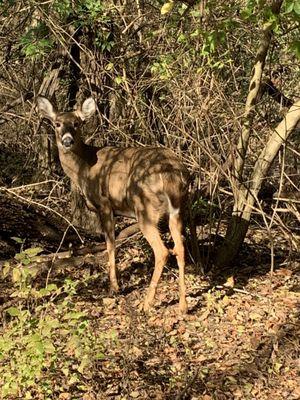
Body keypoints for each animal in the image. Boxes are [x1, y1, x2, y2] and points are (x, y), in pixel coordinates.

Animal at [37, 95, 190, 314]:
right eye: (57, 123)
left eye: (77, 123)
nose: (67, 140)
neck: (84, 169)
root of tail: (172, 176)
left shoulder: (104, 204)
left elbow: (111, 245)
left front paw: (114, 287)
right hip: (177, 210)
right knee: (180, 248)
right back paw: (183, 305)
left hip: (145, 209)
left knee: (162, 251)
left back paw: (146, 303)